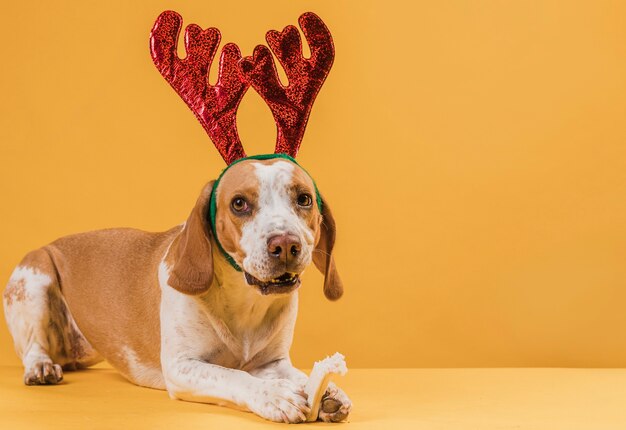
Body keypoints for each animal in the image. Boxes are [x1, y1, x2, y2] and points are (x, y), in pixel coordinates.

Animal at [2, 156, 348, 422]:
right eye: (239, 203)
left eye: (304, 199)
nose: (286, 245)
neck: (244, 301)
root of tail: (51, 243)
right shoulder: (182, 367)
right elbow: (235, 375)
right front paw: (274, 395)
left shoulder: (273, 363)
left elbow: (297, 374)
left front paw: (326, 391)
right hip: (35, 279)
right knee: (33, 347)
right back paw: (40, 367)